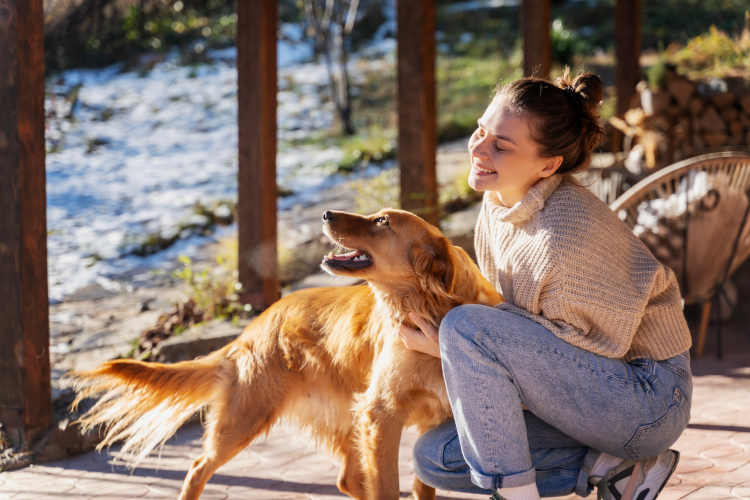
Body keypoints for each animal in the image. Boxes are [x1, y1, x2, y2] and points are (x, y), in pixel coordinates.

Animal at [72, 209, 506, 498]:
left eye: (382, 221)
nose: (326, 212)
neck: (428, 307)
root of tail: (255, 324)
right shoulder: (381, 415)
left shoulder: (433, 417)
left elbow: (420, 486)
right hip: (247, 417)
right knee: (197, 468)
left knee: (348, 479)